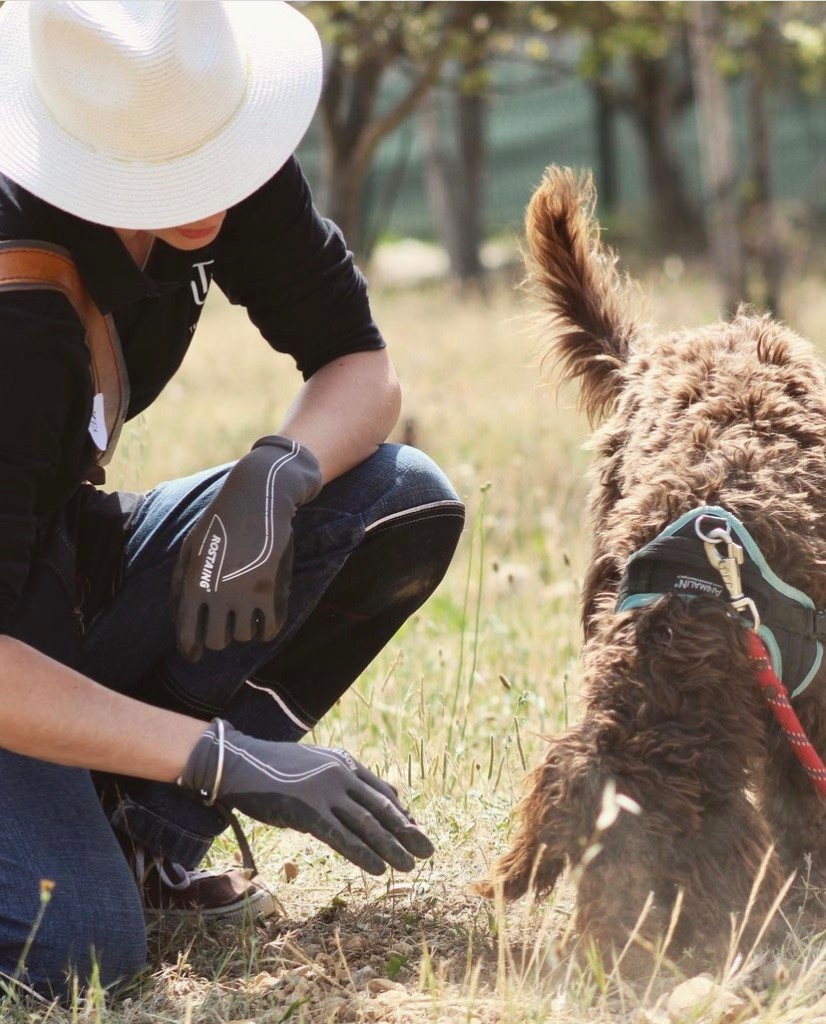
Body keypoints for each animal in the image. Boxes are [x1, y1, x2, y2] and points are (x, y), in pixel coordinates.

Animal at [479, 165, 826, 958]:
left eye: (660, 880)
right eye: (582, 868)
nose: (609, 965)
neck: (702, 599)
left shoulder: (812, 695)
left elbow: (802, 801)